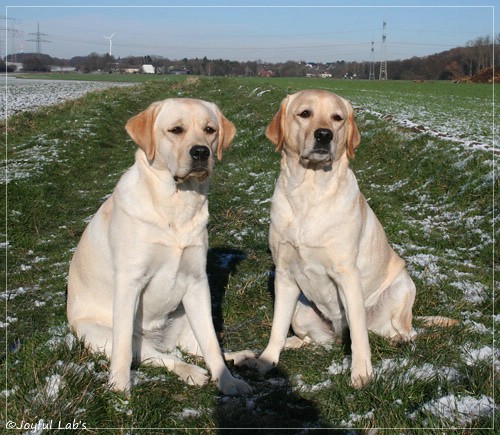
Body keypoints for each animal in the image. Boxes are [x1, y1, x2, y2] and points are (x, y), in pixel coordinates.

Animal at [67, 97, 250, 396]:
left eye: (210, 130)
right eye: (176, 130)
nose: (200, 152)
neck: (176, 204)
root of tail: (160, 337)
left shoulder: (197, 282)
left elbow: (211, 342)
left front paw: (227, 381)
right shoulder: (129, 282)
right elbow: (122, 351)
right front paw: (119, 388)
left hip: (186, 312)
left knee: (194, 347)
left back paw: (237, 358)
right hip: (99, 333)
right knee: (159, 357)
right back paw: (191, 372)